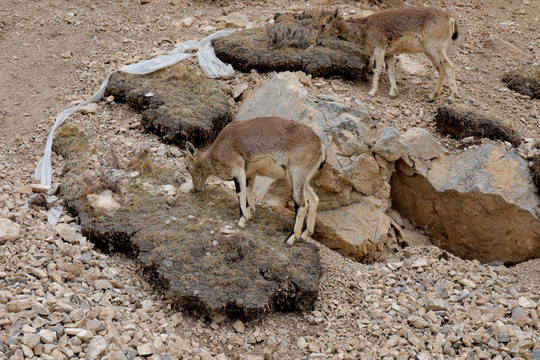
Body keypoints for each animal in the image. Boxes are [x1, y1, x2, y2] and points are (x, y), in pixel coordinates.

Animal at [181, 116, 324, 246]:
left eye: (187, 166)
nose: (195, 189)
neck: (219, 148)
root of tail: (321, 146)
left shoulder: (237, 168)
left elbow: (240, 193)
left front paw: (241, 221)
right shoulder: (249, 173)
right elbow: (248, 191)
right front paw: (249, 214)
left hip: (297, 174)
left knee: (302, 204)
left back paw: (290, 239)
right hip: (297, 179)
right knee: (314, 199)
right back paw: (304, 235)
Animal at [316, 7, 460, 102]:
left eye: (323, 25)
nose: (317, 40)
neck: (365, 29)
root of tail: (451, 19)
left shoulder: (379, 48)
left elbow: (377, 69)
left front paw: (371, 92)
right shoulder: (388, 54)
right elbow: (391, 71)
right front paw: (392, 93)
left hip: (435, 47)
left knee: (449, 66)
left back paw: (451, 97)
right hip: (429, 51)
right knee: (441, 68)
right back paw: (431, 97)